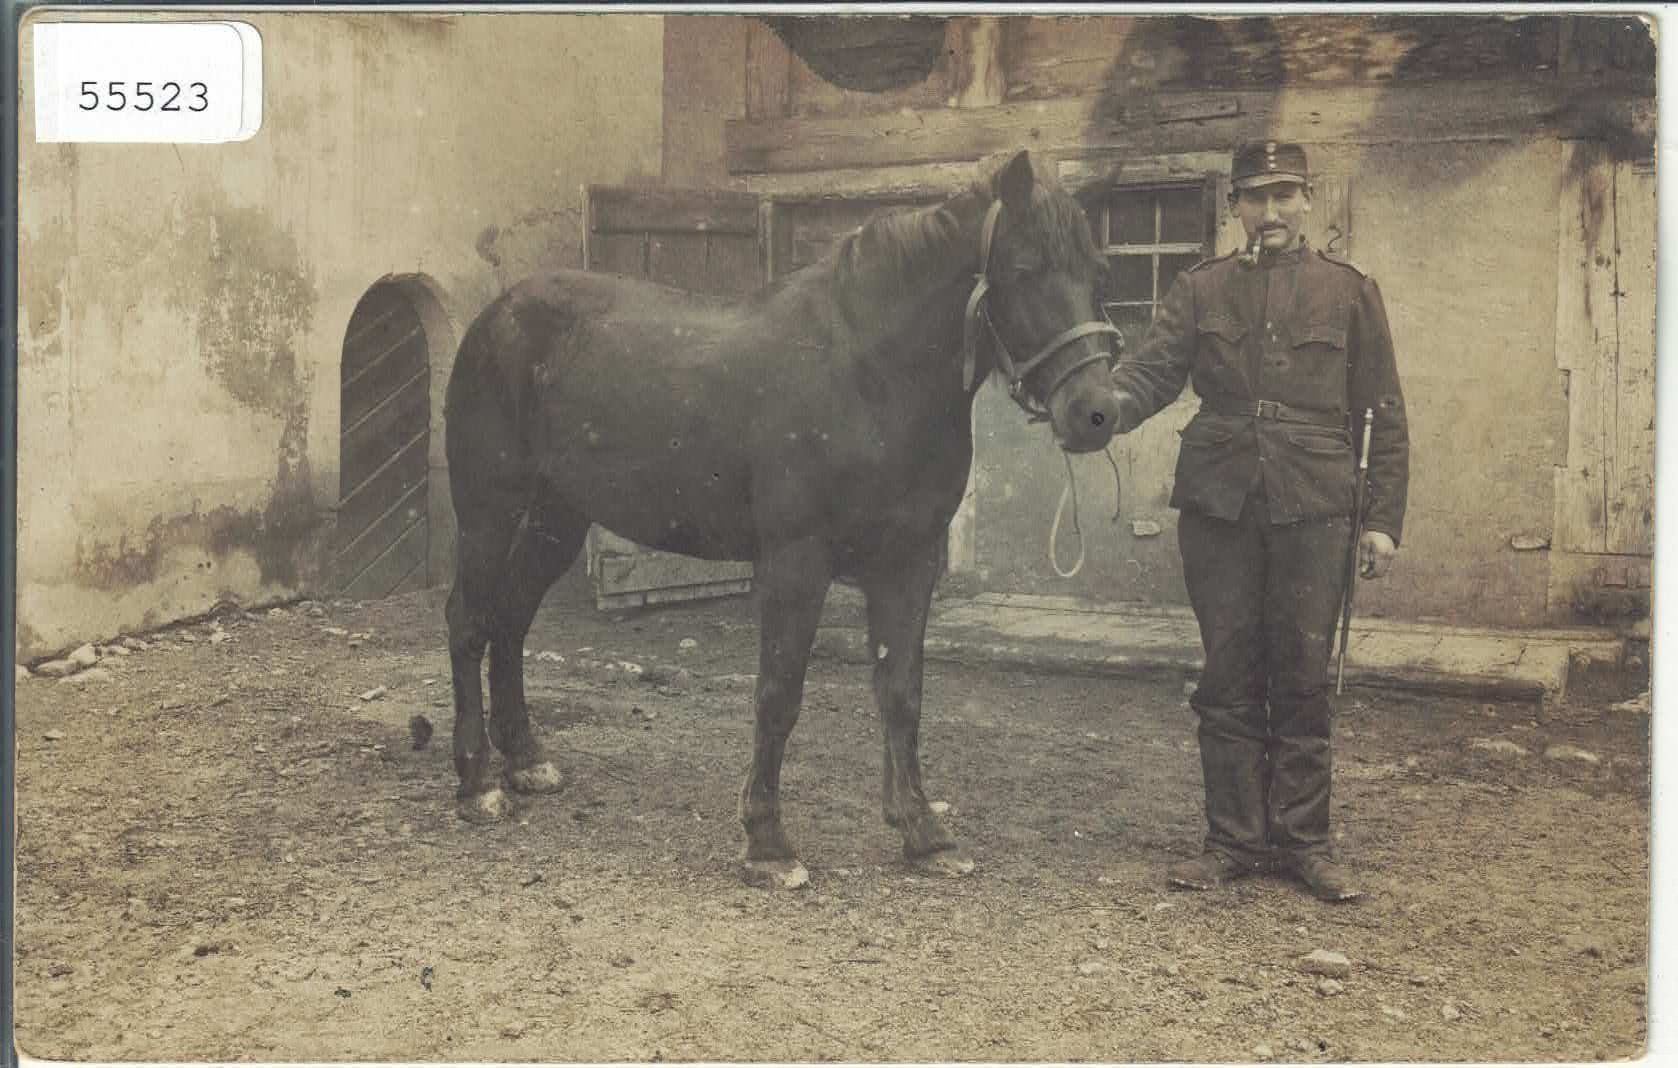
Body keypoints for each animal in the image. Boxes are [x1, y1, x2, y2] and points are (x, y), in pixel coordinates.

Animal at [443, 149, 1123, 887]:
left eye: (1097, 272)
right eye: (1024, 269)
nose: (1095, 412)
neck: (867, 375)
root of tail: (496, 315)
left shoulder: (908, 563)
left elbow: (902, 691)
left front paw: (924, 832)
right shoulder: (797, 562)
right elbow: (779, 693)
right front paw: (767, 842)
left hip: (557, 517)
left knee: (511, 618)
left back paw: (525, 761)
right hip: (488, 508)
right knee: (470, 619)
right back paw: (476, 784)